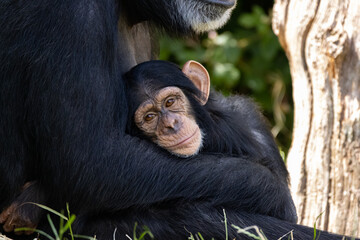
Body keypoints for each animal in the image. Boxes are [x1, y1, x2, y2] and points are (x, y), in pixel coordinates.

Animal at [0, 0, 348, 239]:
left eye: (171, 102)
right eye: (150, 116)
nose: (170, 125)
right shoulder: (69, 13)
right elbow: (92, 160)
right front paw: (272, 190)